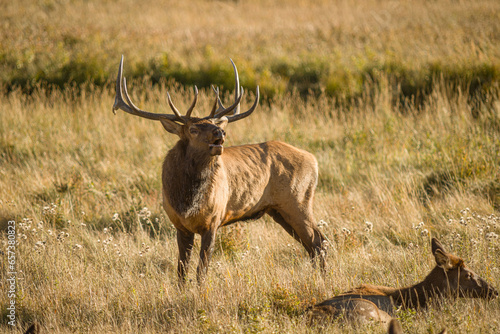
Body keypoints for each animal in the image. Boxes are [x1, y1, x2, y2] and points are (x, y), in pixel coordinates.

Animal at [111, 56, 326, 284]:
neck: (186, 200)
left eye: (213, 124)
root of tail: (313, 159)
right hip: (278, 210)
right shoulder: (179, 225)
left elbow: (201, 271)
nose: (220, 132)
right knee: (311, 245)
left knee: (319, 241)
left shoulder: (213, 220)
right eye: (193, 129)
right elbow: (181, 271)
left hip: (298, 200)